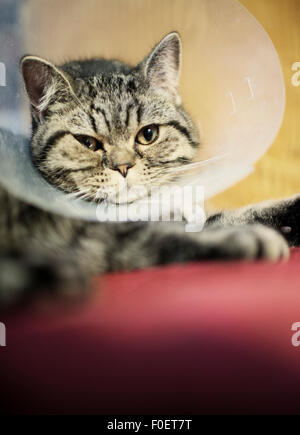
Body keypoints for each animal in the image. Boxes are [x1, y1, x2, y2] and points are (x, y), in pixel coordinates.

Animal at [0, 32, 298, 308]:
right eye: (88, 143)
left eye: (148, 134)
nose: (123, 166)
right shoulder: (101, 238)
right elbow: (173, 238)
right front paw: (246, 239)